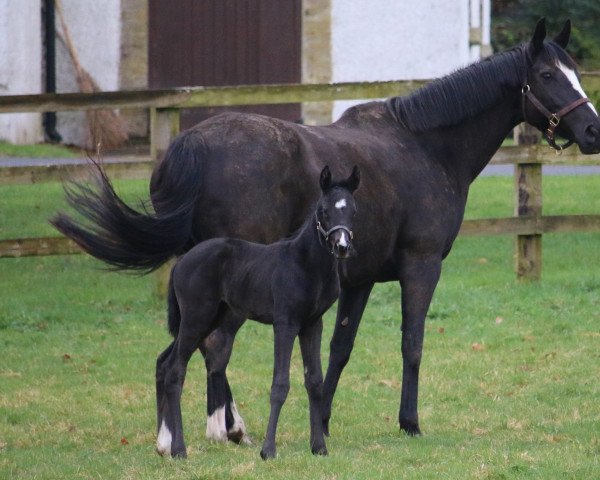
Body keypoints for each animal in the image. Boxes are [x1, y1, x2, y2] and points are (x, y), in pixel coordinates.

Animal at [156, 167, 360, 460]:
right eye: (323, 210)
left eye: (353, 210)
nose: (342, 246)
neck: (306, 264)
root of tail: (182, 261)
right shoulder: (285, 323)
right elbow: (280, 384)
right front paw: (268, 450)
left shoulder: (312, 324)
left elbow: (314, 381)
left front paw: (319, 447)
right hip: (196, 318)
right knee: (175, 370)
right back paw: (179, 449)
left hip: (211, 318)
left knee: (164, 362)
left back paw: (164, 444)